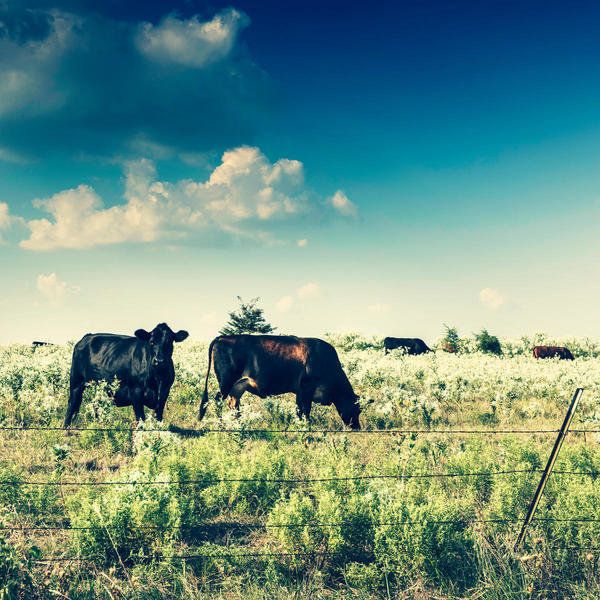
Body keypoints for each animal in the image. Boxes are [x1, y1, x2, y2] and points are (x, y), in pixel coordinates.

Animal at [200, 336, 360, 428]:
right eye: (357, 409)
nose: (356, 427)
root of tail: (223, 337)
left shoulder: (299, 392)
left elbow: (299, 411)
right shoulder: (306, 389)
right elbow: (306, 411)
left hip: (238, 386)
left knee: (234, 404)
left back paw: (239, 423)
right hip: (225, 383)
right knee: (217, 401)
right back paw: (221, 424)